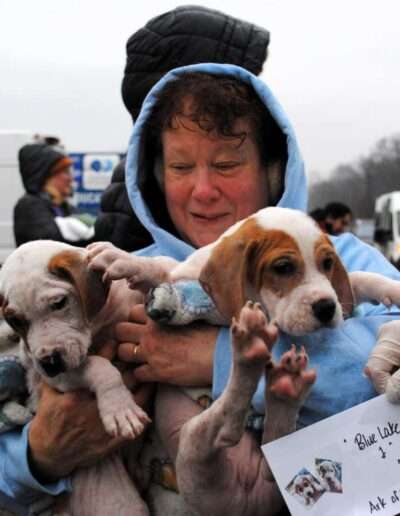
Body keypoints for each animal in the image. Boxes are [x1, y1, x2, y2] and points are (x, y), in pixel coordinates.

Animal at [0, 240, 151, 516]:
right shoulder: (58, 380)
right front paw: (119, 409)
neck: (98, 324)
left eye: (59, 303)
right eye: (15, 320)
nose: (49, 362)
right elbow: (100, 366)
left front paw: (124, 260)